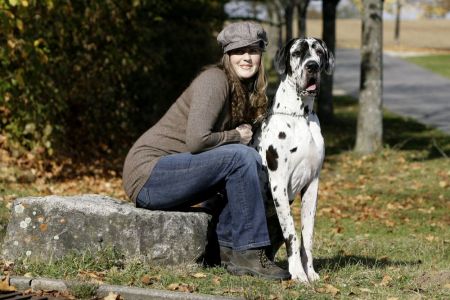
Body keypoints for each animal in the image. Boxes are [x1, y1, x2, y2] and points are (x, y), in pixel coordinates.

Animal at [253, 38, 334, 284]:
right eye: (297, 52)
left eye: (319, 52)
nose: (312, 67)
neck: (301, 116)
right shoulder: (278, 184)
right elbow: (292, 234)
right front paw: (298, 273)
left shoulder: (313, 184)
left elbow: (306, 235)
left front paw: (311, 272)